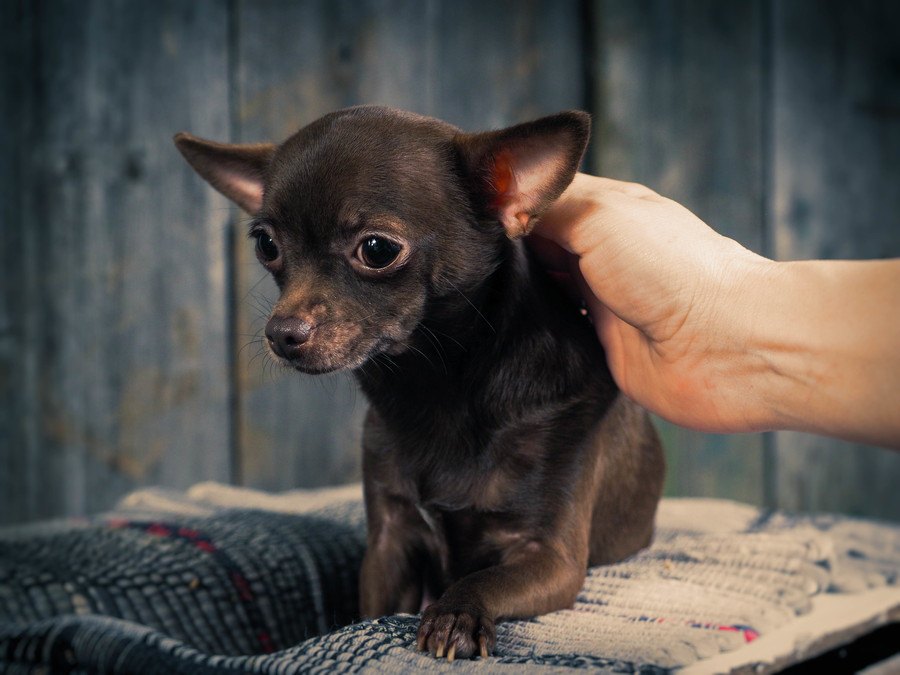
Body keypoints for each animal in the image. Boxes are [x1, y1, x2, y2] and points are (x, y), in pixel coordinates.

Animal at [176, 108, 664, 664]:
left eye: (377, 249)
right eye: (266, 245)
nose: (281, 333)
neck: (433, 386)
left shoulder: (553, 558)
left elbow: (488, 579)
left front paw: (455, 615)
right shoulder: (390, 545)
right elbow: (372, 609)